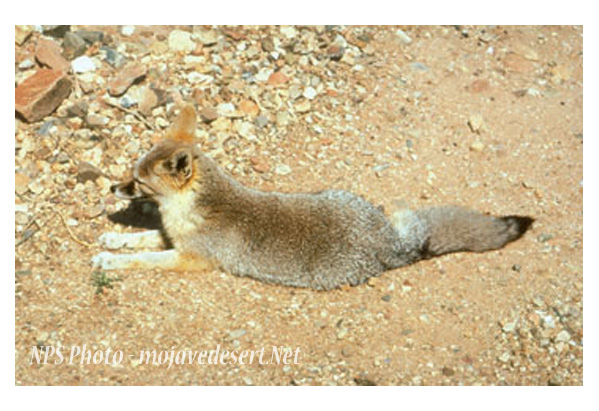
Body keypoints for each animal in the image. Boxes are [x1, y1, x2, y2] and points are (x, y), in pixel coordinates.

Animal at [92, 103, 536, 292]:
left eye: (137, 182)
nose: (112, 188)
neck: (189, 211)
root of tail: (392, 244)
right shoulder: (174, 237)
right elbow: (142, 238)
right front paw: (113, 239)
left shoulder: (191, 258)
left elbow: (144, 259)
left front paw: (111, 259)